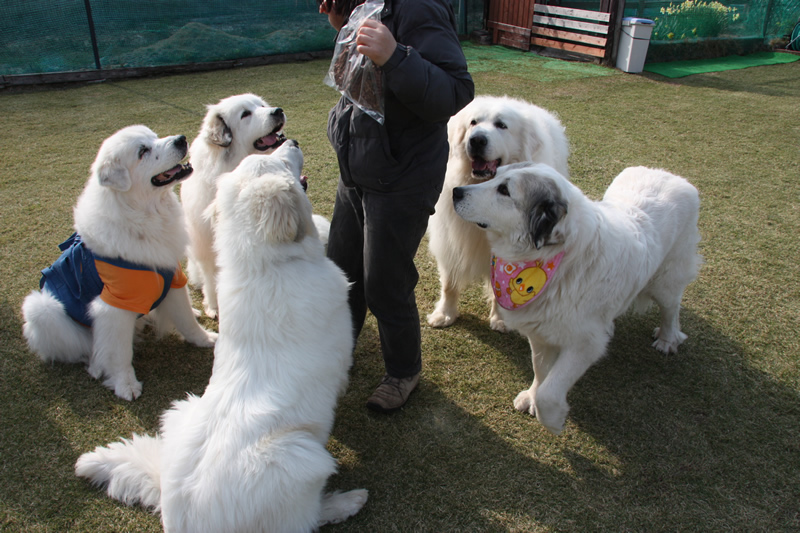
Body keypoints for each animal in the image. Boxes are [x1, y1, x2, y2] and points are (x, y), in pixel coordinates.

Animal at [23, 124, 220, 400]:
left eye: (154, 136)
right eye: (142, 151)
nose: (181, 139)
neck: (144, 217)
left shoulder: (171, 279)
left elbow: (186, 320)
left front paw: (206, 339)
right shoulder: (114, 306)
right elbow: (119, 353)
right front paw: (125, 384)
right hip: (41, 308)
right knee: (85, 346)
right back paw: (95, 365)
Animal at [73, 140, 368, 532]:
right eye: (278, 164)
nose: (292, 142)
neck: (266, 267)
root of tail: (180, 517)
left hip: (182, 407)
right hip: (300, 459)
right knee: (306, 517)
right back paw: (348, 501)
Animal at [181, 92, 288, 318]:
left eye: (262, 105)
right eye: (245, 114)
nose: (278, 111)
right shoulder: (206, 248)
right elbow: (211, 277)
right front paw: (213, 307)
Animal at [428, 93, 572, 330]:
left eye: (502, 125)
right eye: (473, 123)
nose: (477, 140)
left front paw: (500, 319)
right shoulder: (450, 240)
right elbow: (450, 281)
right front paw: (445, 314)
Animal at [454, 162, 704, 432]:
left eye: (504, 190)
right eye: (495, 174)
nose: (456, 191)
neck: (554, 258)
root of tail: (669, 175)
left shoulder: (586, 343)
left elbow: (550, 392)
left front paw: (553, 420)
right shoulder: (540, 332)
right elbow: (540, 370)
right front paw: (532, 396)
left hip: (666, 280)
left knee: (671, 309)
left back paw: (668, 338)